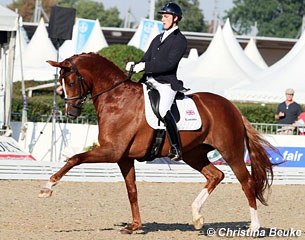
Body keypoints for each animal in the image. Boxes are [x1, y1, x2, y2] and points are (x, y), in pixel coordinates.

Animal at [39, 53, 274, 234]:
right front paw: (134, 226)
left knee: (246, 182)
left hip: (231, 152)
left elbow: (74, 159)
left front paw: (47, 187)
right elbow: (132, 190)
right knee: (216, 175)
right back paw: (197, 216)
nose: (71, 112)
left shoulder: (112, 152)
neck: (116, 99)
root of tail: (232, 107)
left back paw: (254, 227)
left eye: (70, 82)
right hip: (194, 154)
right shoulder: (124, 158)